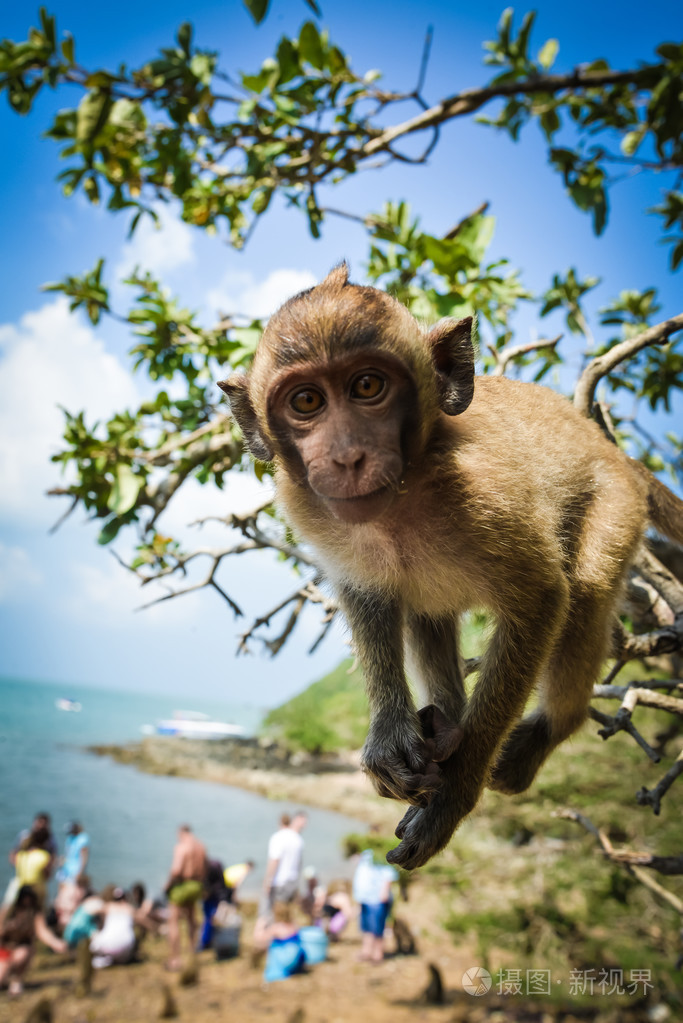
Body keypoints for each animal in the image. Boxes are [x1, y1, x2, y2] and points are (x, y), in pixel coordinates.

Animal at [218, 263, 683, 871]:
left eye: (367, 387)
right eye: (306, 401)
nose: (346, 457)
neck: (404, 494)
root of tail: (614, 451)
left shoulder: (483, 496)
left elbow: (543, 597)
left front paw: (456, 793)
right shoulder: (312, 511)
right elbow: (368, 596)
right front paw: (391, 738)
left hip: (615, 501)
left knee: (585, 587)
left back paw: (549, 727)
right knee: (427, 614)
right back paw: (447, 723)